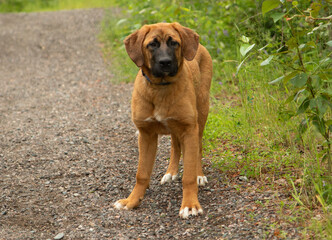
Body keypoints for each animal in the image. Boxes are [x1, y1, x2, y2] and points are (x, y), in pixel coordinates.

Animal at [114, 22, 213, 218]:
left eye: (174, 43)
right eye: (152, 44)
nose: (165, 62)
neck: (161, 88)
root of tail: (200, 46)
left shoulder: (189, 129)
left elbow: (188, 175)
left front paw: (190, 204)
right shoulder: (146, 134)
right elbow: (141, 174)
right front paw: (132, 200)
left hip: (201, 114)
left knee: (198, 148)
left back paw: (199, 175)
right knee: (175, 145)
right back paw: (171, 172)